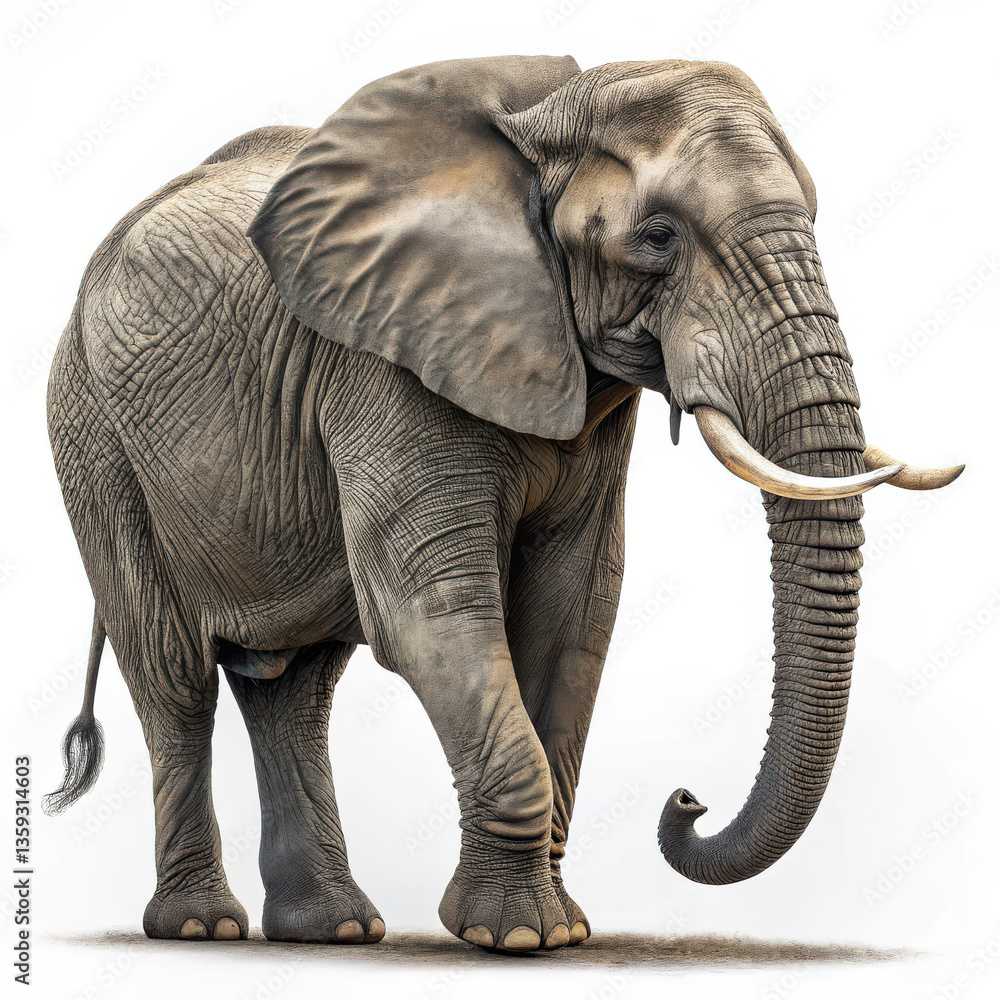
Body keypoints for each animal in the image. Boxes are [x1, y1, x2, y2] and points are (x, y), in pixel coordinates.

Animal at [43, 54, 962, 951]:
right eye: (658, 238)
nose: (688, 801)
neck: (546, 117)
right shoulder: (387, 361)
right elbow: (432, 610)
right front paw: (517, 935)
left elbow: (573, 610)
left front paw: (558, 932)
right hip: (94, 437)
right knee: (173, 677)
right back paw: (203, 925)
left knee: (296, 688)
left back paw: (334, 929)